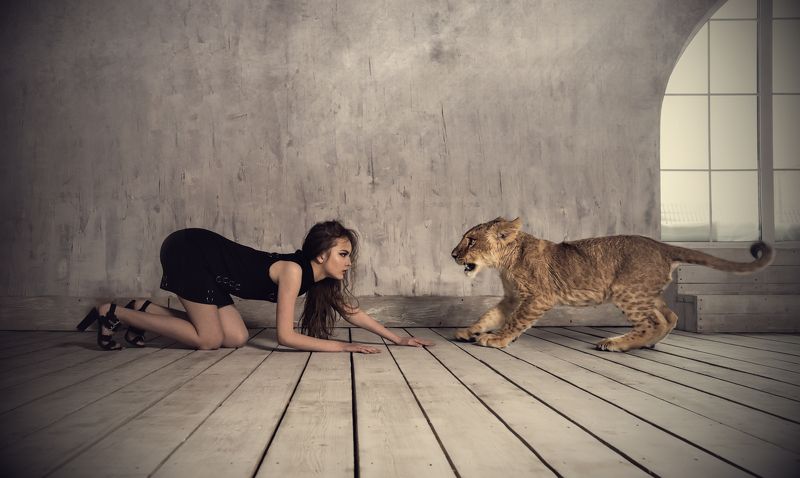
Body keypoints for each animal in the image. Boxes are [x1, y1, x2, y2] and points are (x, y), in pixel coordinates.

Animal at [451, 217, 774, 351]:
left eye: (471, 240)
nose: (453, 254)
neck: (505, 262)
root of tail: (661, 246)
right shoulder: (513, 298)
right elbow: (490, 314)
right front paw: (470, 330)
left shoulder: (538, 297)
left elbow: (515, 322)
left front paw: (497, 339)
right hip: (645, 292)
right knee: (669, 316)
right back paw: (647, 343)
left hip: (627, 291)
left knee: (652, 321)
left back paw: (617, 343)